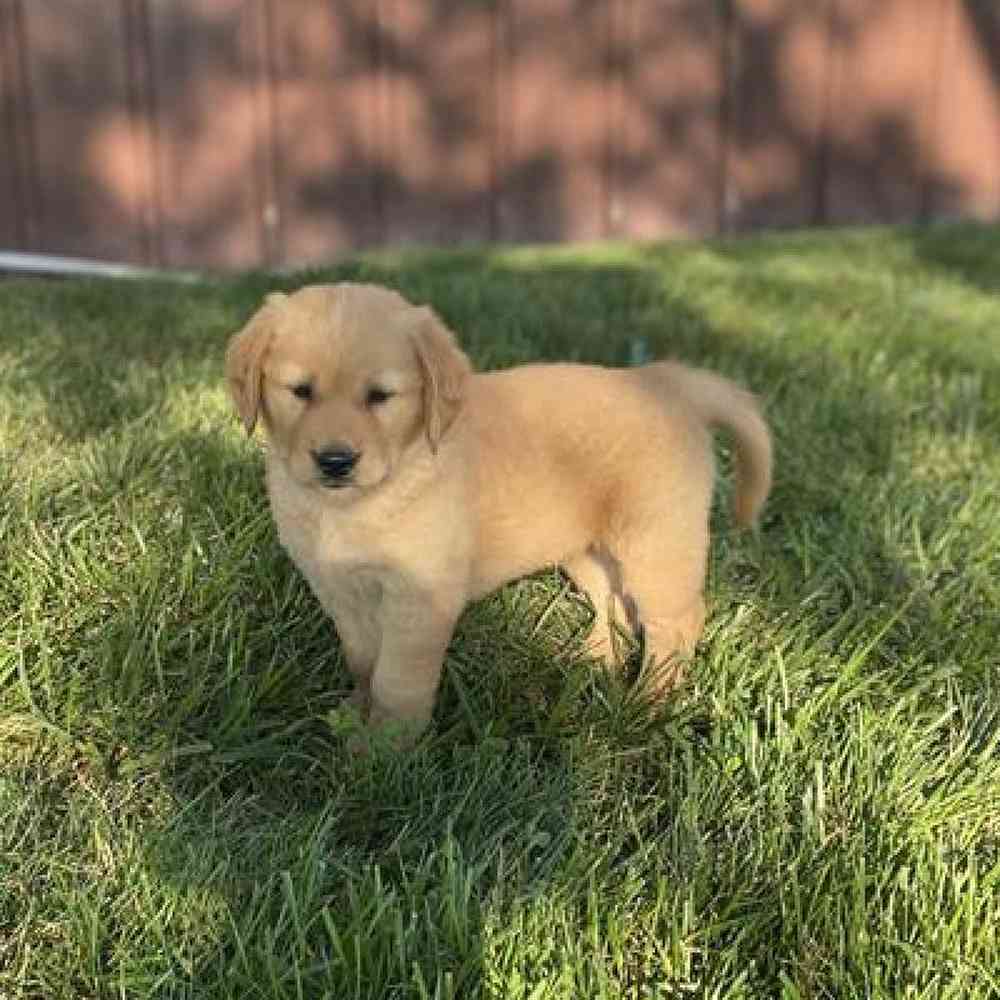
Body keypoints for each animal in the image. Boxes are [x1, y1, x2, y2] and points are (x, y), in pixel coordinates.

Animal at [227, 282, 772, 744]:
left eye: (380, 396)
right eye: (300, 391)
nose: (335, 461)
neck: (358, 501)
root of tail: (663, 381)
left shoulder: (419, 599)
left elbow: (397, 678)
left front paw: (386, 748)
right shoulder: (339, 591)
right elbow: (363, 661)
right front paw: (355, 715)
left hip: (656, 540)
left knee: (677, 621)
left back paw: (651, 701)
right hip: (581, 545)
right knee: (612, 599)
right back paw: (593, 660)